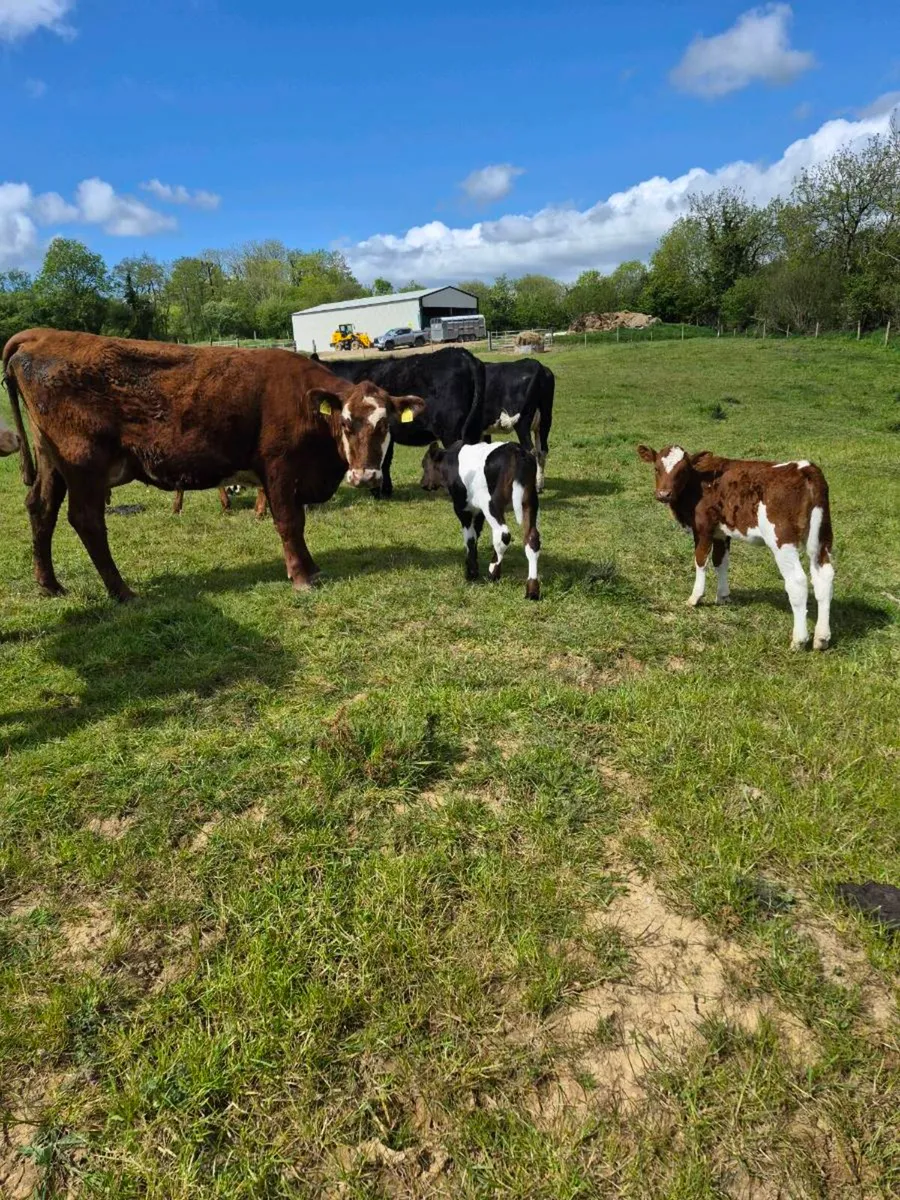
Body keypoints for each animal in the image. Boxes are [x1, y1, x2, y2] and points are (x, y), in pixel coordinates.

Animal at [3, 329, 424, 600]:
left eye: (384, 424)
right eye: (347, 423)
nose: (366, 475)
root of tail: (43, 335)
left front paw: (310, 567)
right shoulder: (280, 469)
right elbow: (290, 523)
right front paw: (302, 576)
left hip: (52, 461)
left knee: (41, 509)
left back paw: (51, 585)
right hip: (84, 464)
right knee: (86, 520)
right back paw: (122, 592)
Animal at [421, 440, 541, 601]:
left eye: (424, 464)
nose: (422, 483)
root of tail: (516, 450)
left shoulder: (462, 508)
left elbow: (470, 538)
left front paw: (471, 573)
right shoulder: (478, 512)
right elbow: (476, 533)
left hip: (491, 503)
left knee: (503, 534)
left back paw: (493, 573)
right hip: (530, 501)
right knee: (532, 538)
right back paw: (532, 590)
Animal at [482, 359, 554, 492]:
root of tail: (536, 365)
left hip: (522, 423)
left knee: (532, 451)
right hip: (545, 420)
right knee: (542, 451)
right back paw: (539, 485)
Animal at [637, 444, 834, 650]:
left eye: (682, 470)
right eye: (656, 468)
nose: (663, 494)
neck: (698, 482)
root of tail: (804, 468)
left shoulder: (703, 528)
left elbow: (701, 560)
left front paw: (695, 598)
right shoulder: (721, 532)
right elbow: (720, 562)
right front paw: (722, 597)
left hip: (782, 541)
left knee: (797, 582)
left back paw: (799, 640)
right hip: (822, 537)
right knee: (824, 578)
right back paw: (822, 638)